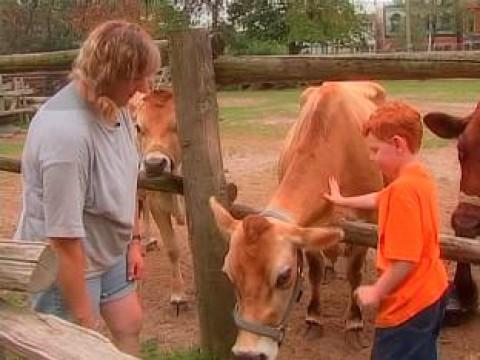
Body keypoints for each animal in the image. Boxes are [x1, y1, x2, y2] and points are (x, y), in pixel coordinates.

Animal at [210, 82, 386, 360]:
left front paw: (354, 322)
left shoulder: (366, 221)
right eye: (229, 274)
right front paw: (313, 318)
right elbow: (314, 270)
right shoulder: (309, 227)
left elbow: (354, 272)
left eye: (284, 276)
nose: (249, 354)